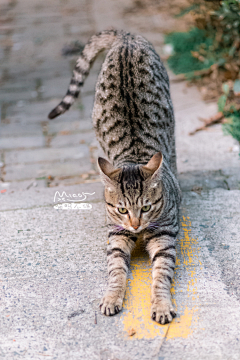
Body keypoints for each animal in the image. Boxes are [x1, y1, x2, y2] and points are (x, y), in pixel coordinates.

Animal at [48, 29, 180, 324]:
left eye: (146, 207)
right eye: (121, 209)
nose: (134, 224)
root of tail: (127, 37)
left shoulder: (165, 236)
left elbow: (161, 276)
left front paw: (161, 305)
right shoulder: (116, 237)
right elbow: (116, 270)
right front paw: (111, 297)